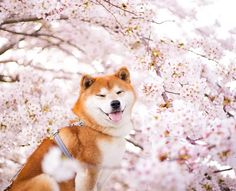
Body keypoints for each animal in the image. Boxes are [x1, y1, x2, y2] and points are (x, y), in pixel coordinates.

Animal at [8, 67, 136, 191]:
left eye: (119, 92)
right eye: (101, 95)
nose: (115, 103)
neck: (94, 127)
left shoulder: (102, 177)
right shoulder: (88, 173)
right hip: (46, 179)